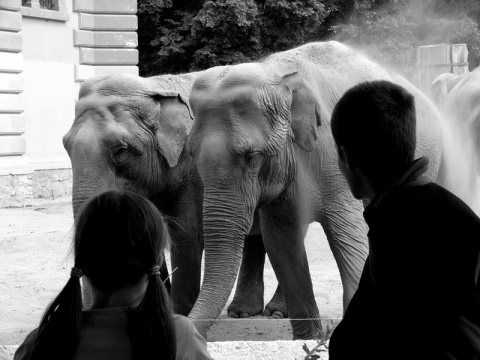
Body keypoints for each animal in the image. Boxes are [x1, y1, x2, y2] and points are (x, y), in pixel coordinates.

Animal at [184, 40, 442, 338]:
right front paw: (309, 339)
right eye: (192, 154)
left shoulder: (336, 159)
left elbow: (347, 237)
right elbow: (281, 243)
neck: (275, 74)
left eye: (253, 156)